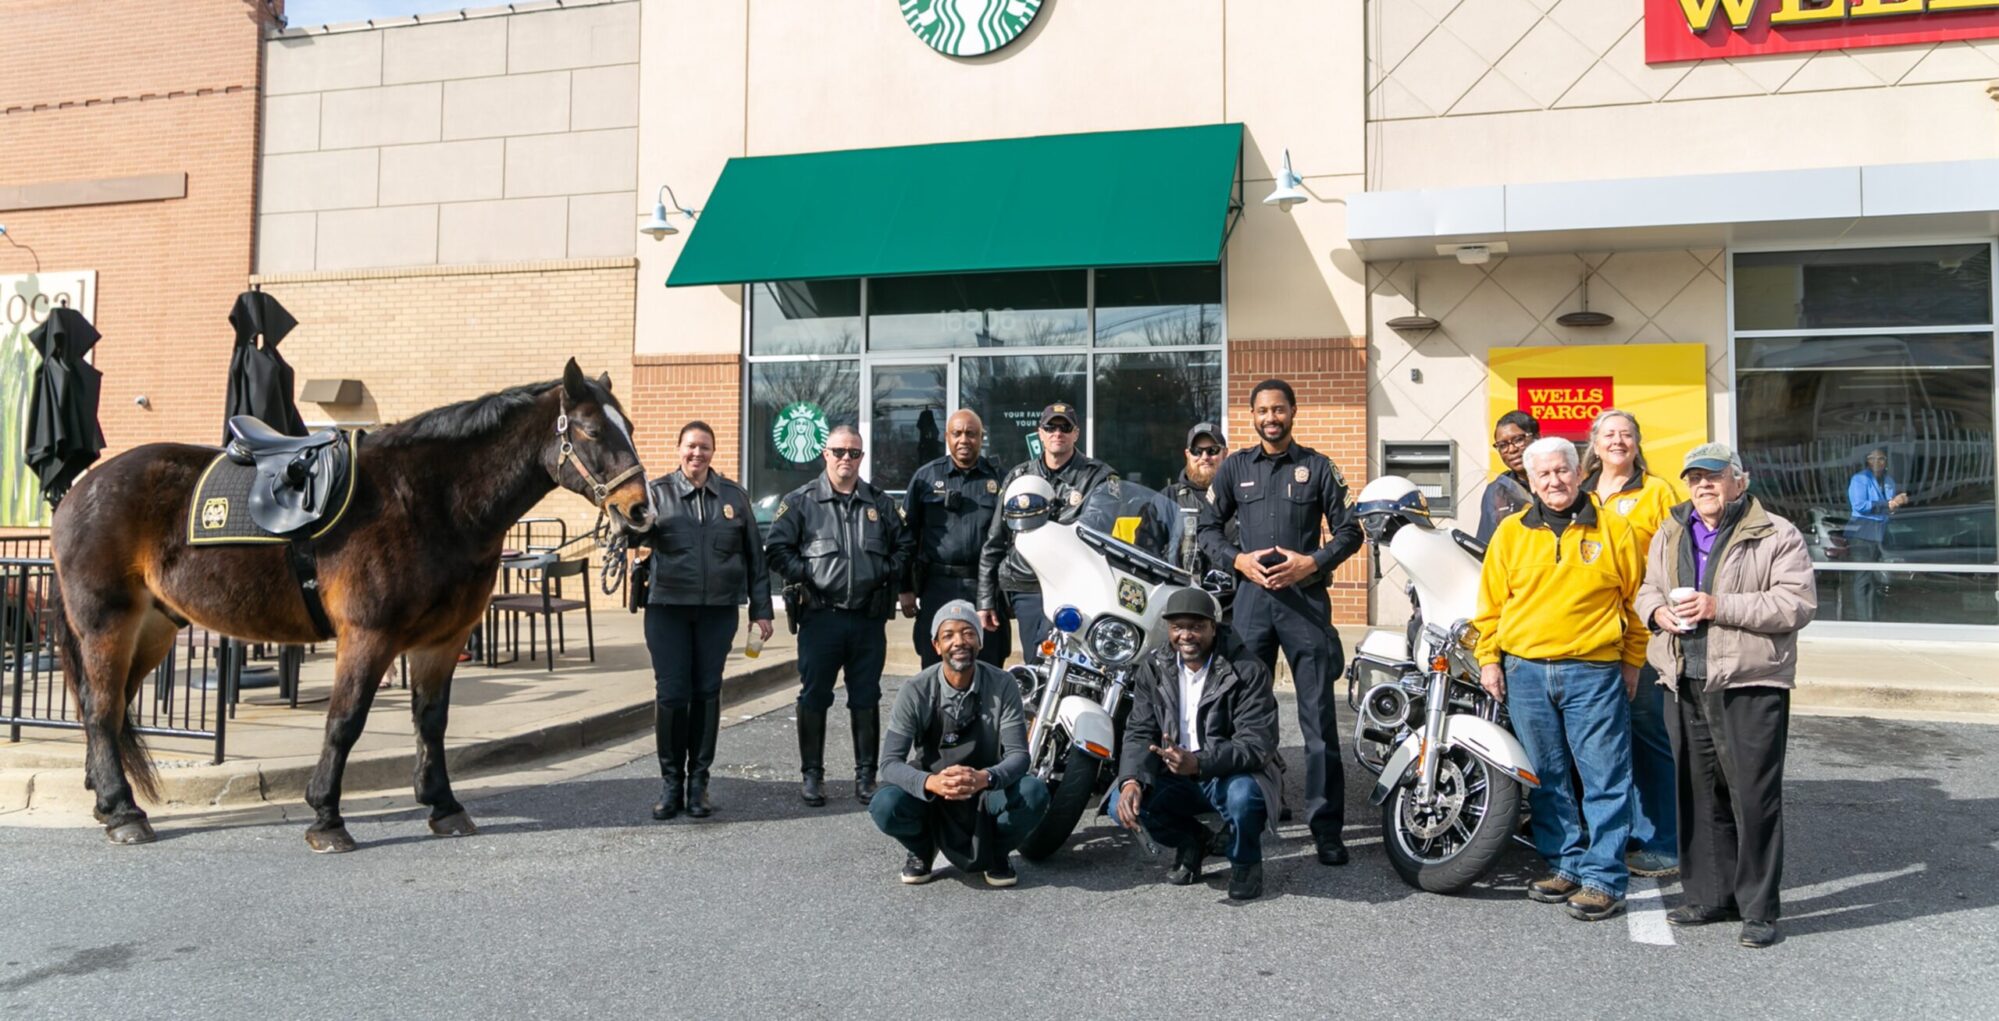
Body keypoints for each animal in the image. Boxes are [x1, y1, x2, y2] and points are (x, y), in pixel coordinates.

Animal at [48, 363, 647, 851]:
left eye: (632, 429)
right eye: (593, 431)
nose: (639, 510)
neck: (429, 500)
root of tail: (80, 491)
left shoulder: (443, 640)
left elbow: (431, 720)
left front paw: (444, 805)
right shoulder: (368, 635)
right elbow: (345, 722)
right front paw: (326, 818)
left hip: (154, 626)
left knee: (110, 708)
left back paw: (105, 799)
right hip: (107, 623)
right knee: (101, 709)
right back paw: (124, 812)